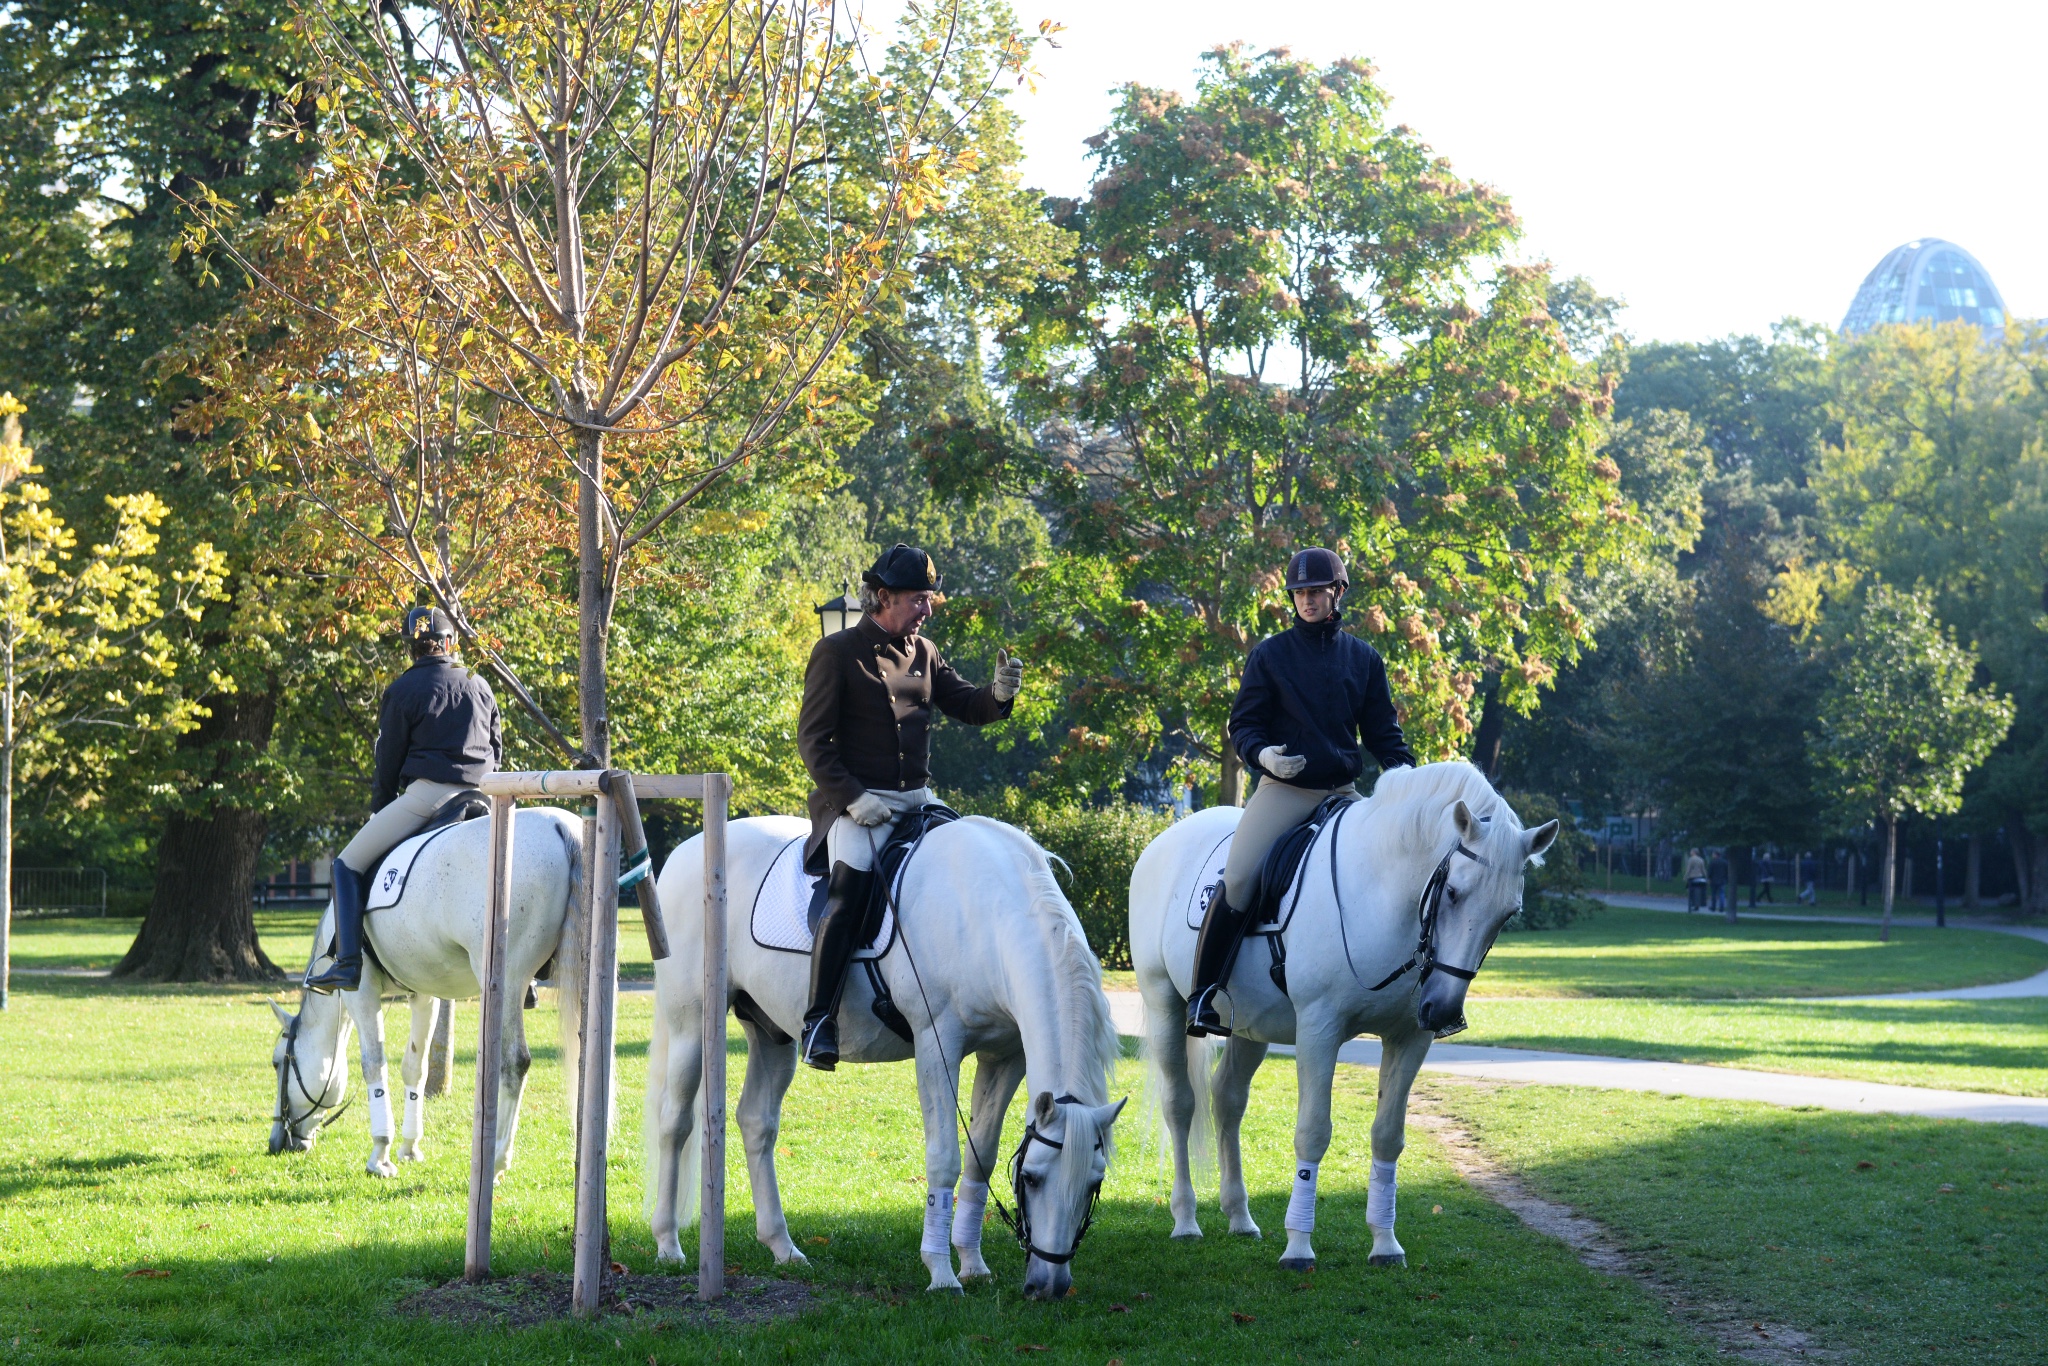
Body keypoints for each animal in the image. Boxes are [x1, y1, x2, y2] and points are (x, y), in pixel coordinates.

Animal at [262, 806, 585, 1179]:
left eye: (277, 1063)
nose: (277, 1143)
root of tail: (559, 825)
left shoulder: (361, 992)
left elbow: (374, 1064)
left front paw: (380, 1155)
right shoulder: (423, 994)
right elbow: (414, 1067)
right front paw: (409, 1148)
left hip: (509, 979)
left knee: (514, 1061)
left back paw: (497, 1160)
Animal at [643, 819, 1122, 1302]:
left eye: (1094, 1183)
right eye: (1032, 1179)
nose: (1050, 1286)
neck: (985, 914)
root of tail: (687, 851)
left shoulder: (1005, 1056)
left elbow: (980, 1157)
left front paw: (973, 1265)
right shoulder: (937, 1042)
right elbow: (944, 1156)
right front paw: (942, 1274)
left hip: (771, 1033)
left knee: (757, 1122)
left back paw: (783, 1248)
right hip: (691, 1026)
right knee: (675, 1123)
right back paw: (668, 1243)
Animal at [1138, 765, 1548, 1277]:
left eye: (1508, 914)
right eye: (1453, 892)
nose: (1444, 1011)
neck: (1380, 894)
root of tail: (1164, 839)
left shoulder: (1409, 1037)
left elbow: (1388, 1137)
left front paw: (1385, 1243)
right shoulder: (1319, 1030)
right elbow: (1312, 1132)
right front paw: (1298, 1247)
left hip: (1251, 1026)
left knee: (1227, 1101)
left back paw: (1240, 1218)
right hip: (1163, 1002)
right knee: (1180, 1105)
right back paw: (1186, 1219)